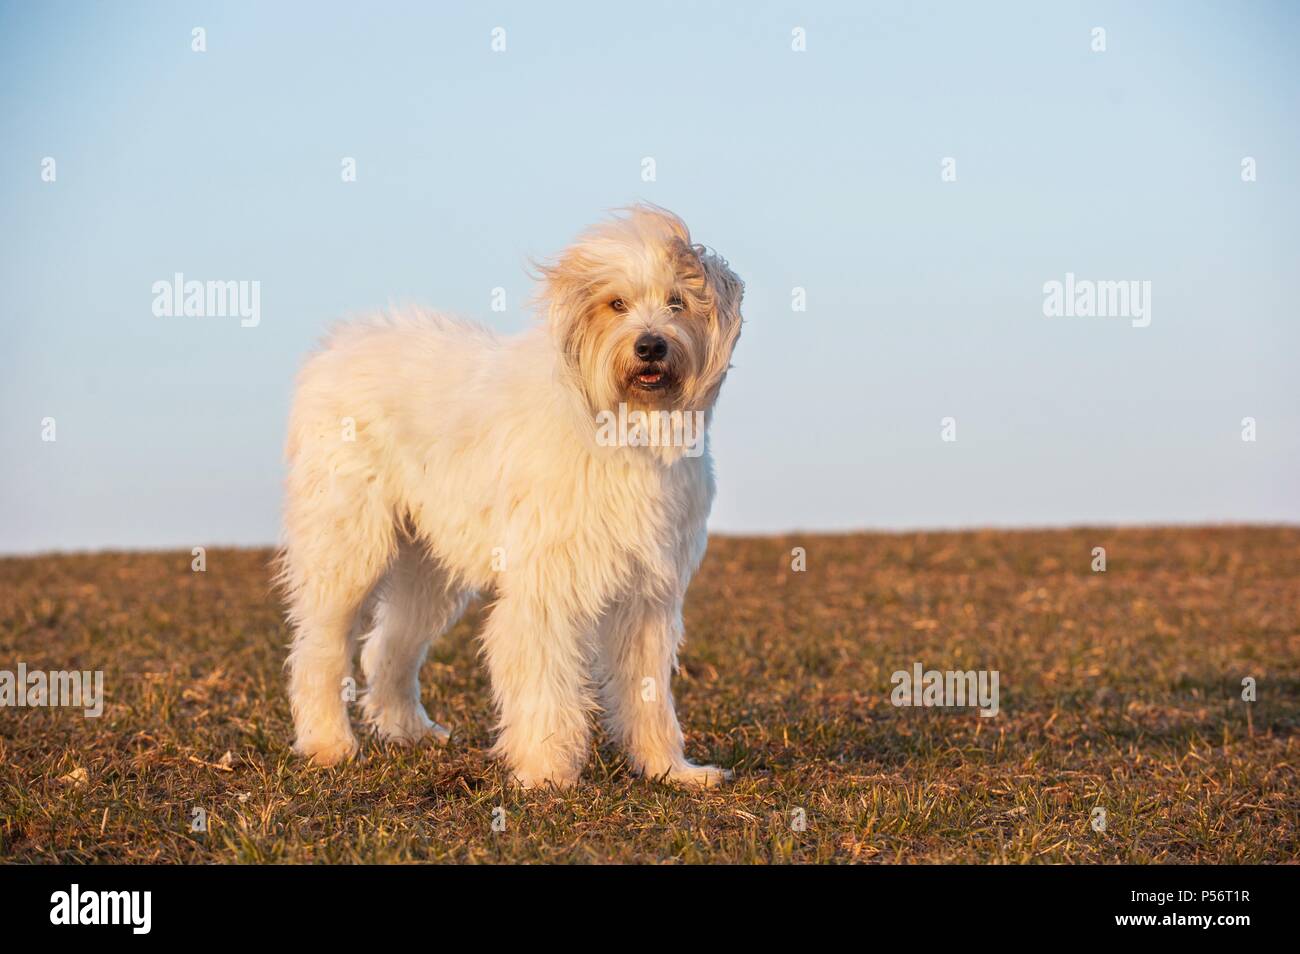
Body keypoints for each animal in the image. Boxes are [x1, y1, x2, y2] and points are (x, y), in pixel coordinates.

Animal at [276, 207, 743, 790]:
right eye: (616, 304)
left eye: (678, 301)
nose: (651, 346)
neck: (624, 426)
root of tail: (337, 348)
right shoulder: (546, 585)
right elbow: (546, 685)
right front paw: (546, 773)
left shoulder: (649, 595)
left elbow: (648, 693)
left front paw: (670, 769)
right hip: (347, 548)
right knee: (321, 648)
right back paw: (328, 744)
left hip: (428, 568)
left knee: (388, 645)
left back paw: (409, 730)